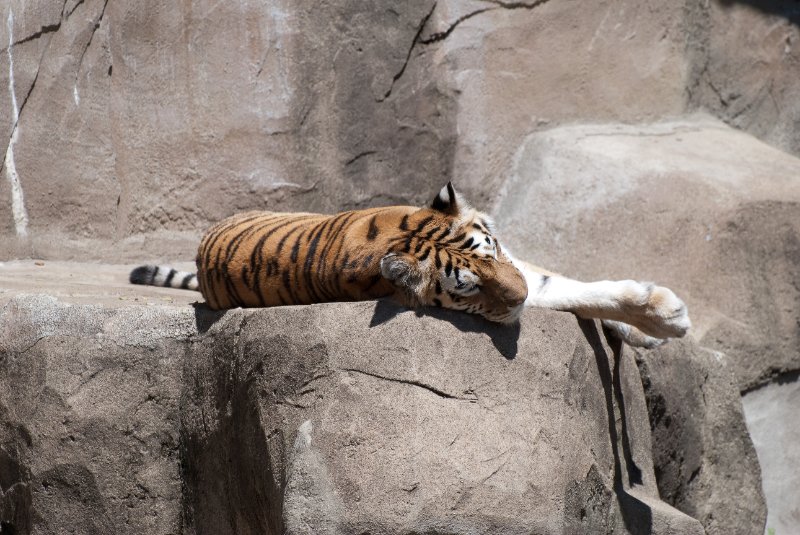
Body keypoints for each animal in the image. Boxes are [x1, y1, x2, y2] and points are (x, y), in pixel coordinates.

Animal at [130, 182, 691, 347]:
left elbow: (574, 285)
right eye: (467, 288)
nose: (520, 299)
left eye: (491, 249)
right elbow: (563, 291)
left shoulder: (518, 266)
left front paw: (659, 322)